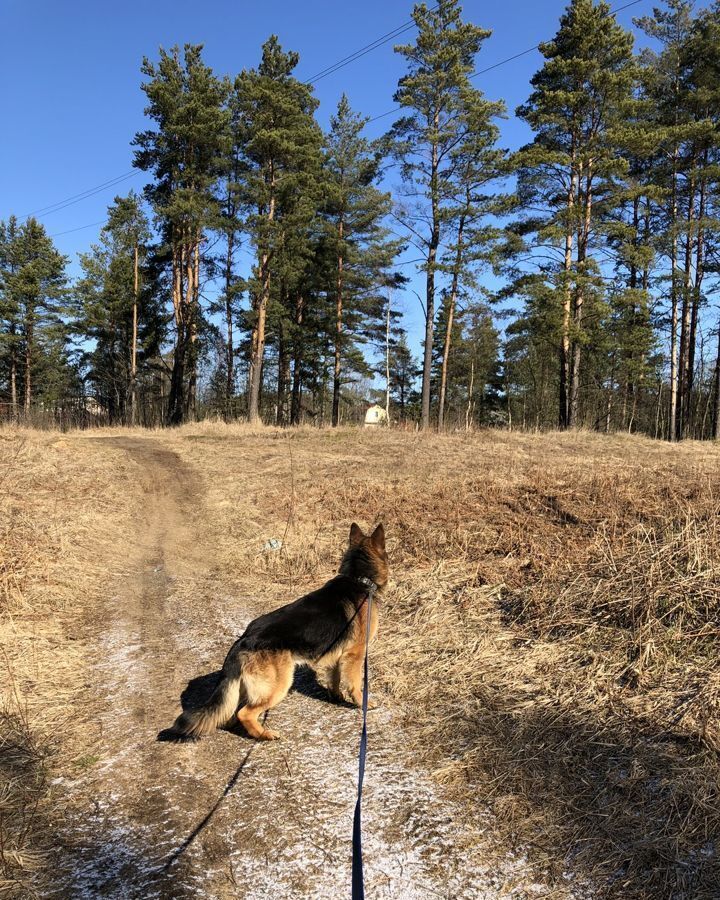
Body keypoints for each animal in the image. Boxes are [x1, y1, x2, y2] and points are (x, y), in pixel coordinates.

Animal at [167, 524, 388, 740]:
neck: (358, 578)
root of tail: (244, 639)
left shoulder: (336, 655)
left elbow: (334, 678)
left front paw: (336, 697)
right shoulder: (355, 654)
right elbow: (355, 684)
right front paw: (363, 704)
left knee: (232, 712)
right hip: (279, 685)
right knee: (245, 712)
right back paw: (264, 734)